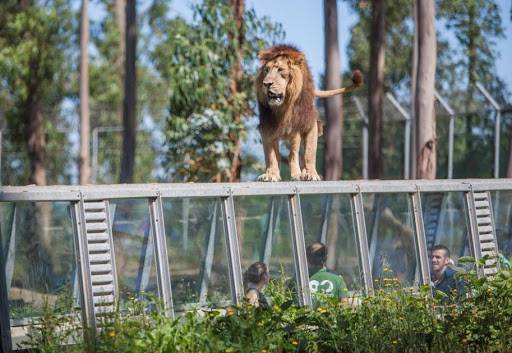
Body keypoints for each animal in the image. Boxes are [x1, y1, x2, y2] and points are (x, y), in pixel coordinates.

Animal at [255, 44, 360, 182]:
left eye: (280, 70)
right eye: (266, 70)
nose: (266, 84)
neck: (284, 107)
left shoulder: (308, 123)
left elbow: (309, 152)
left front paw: (310, 174)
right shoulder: (266, 126)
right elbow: (271, 155)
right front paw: (271, 174)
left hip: (296, 132)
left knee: (293, 154)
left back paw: (298, 174)